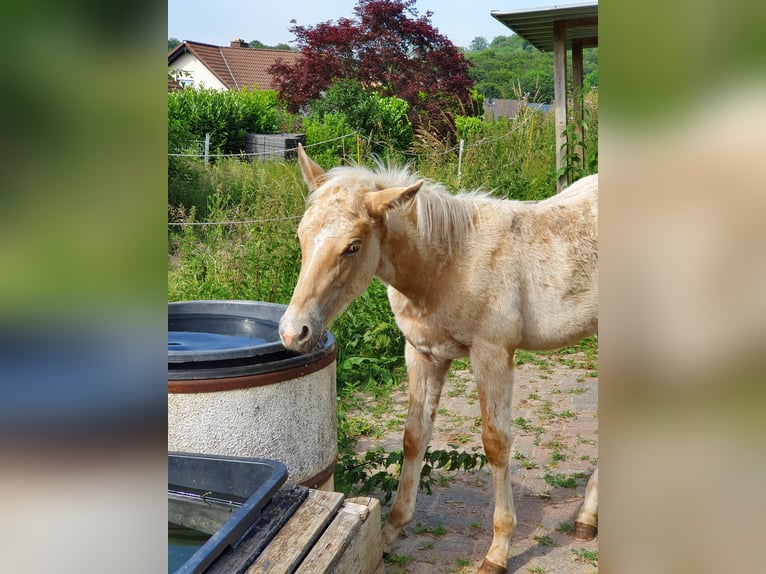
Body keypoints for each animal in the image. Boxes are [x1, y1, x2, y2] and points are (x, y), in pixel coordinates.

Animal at [282, 145, 600, 574]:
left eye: (353, 245)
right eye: (301, 235)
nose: (293, 332)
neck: (448, 264)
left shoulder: (492, 353)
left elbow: (496, 443)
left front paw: (498, 550)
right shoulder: (422, 353)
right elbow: (415, 436)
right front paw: (390, 531)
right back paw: (588, 517)